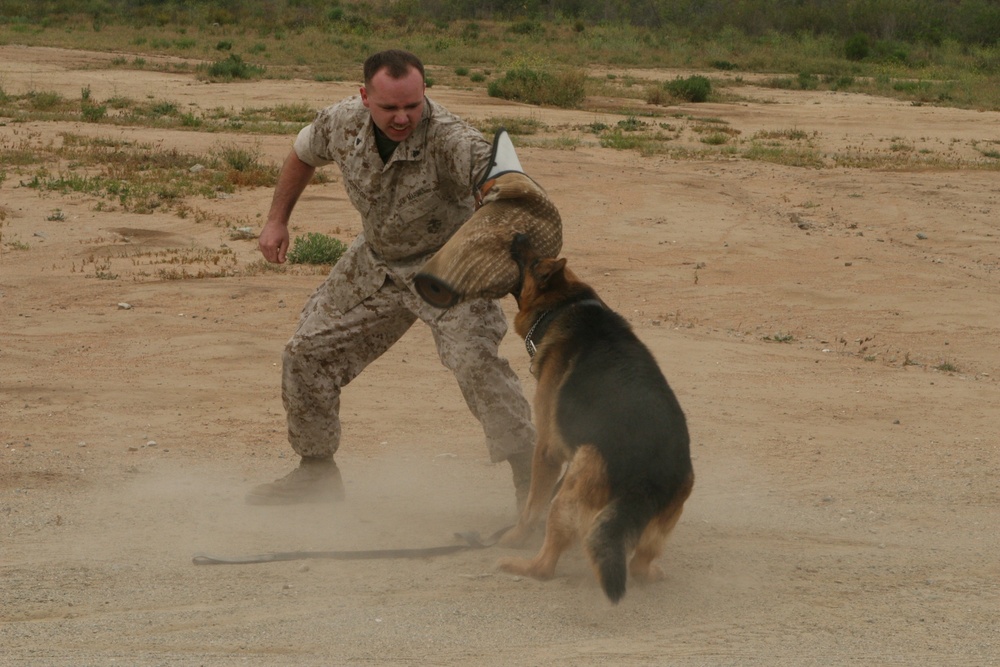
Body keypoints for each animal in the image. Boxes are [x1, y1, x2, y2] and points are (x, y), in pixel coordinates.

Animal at [494, 237, 696, 604]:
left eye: (535, 262)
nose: (517, 235)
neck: (566, 305)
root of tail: (647, 476)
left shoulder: (547, 451)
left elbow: (531, 507)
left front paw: (515, 536)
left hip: (572, 485)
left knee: (546, 566)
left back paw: (519, 564)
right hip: (656, 522)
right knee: (640, 566)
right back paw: (652, 572)